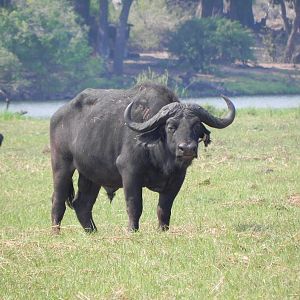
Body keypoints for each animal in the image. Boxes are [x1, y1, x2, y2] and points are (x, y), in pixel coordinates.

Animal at [50, 83, 236, 233]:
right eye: (171, 126)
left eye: (196, 126)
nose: (187, 148)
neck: (161, 156)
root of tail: (57, 115)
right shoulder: (130, 173)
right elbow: (134, 205)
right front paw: (132, 230)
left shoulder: (178, 178)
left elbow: (164, 207)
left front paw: (162, 230)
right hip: (61, 165)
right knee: (58, 200)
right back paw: (56, 232)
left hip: (91, 175)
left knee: (82, 204)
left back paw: (93, 232)